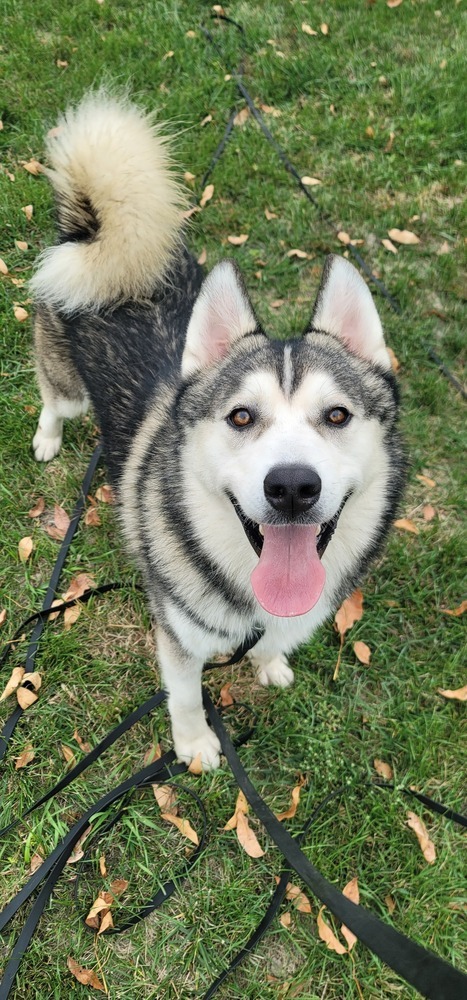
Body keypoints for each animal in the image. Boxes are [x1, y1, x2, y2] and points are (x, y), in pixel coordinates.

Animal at [30, 92, 406, 764]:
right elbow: (183, 697)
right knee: (51, 398)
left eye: (337, 415)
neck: (252, 597)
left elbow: (274, 643)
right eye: (241, 416)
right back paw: (47, 439)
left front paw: (269, 664)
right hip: (65, 382)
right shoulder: (177, 634)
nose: (292, 487)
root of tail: (101, 236)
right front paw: (196, 746)